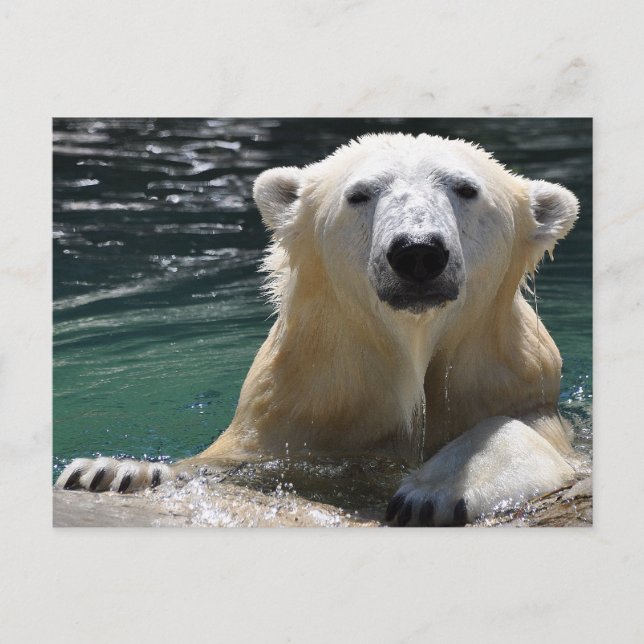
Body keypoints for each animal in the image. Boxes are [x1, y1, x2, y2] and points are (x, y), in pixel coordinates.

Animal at [56, 133, 581, 526]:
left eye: (466, 189)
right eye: (359, 194)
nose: (417, 251)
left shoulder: (511, 384)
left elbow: (524, 433)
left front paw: (432, 491)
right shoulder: (300, 408)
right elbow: (225, 460)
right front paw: (112, 472)